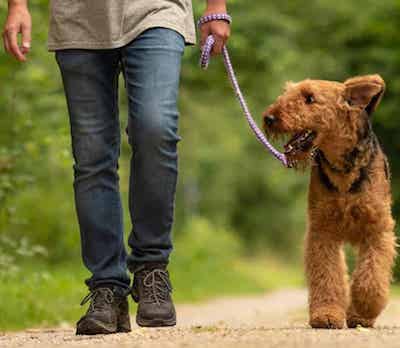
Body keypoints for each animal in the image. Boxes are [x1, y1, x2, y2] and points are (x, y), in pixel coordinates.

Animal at [262, 75, 396, 328]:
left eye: (309, 98)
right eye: (287, 93)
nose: (269, 118)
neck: (343, 170)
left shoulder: (377, 229)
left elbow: (370, 277)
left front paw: (363, 311)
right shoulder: (322, 230)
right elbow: (327, 275)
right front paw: (326, 315)